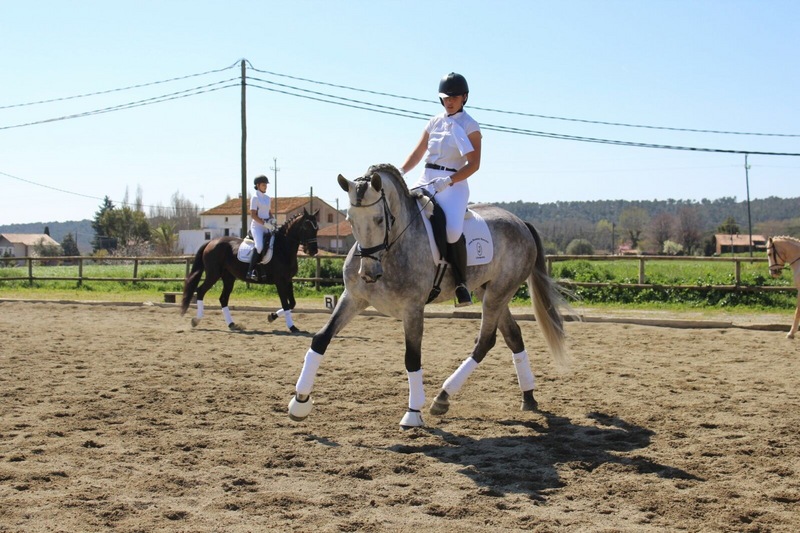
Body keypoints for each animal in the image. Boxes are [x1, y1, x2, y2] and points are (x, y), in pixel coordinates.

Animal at [181, 209, 319, 333]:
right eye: (306, 227)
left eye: (316, 228)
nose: (313, 251)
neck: (283, 248)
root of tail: (211, 242)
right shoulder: (280, 282)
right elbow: (286, 304)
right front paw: (292, 327)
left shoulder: (288, 280)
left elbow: (292, 304)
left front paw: (272, 316)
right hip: (213, 275)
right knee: (201, 291)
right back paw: (196, 320)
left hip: (228, 278)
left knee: (223, 299)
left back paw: (232, 324)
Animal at [287, 164, 570, 428]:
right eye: (350, 218)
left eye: (379, 219)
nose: (368, 273)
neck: (392, 248)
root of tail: (521, 223)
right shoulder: (354, 298)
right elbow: (321, 339)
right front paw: (299, 402)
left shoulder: (413, 309)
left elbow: (412, 358)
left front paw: (413, 413)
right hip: (487, 289)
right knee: (513, 335)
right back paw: (528, 396)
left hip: (499, 292)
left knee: (485, 341)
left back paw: (443, 397)